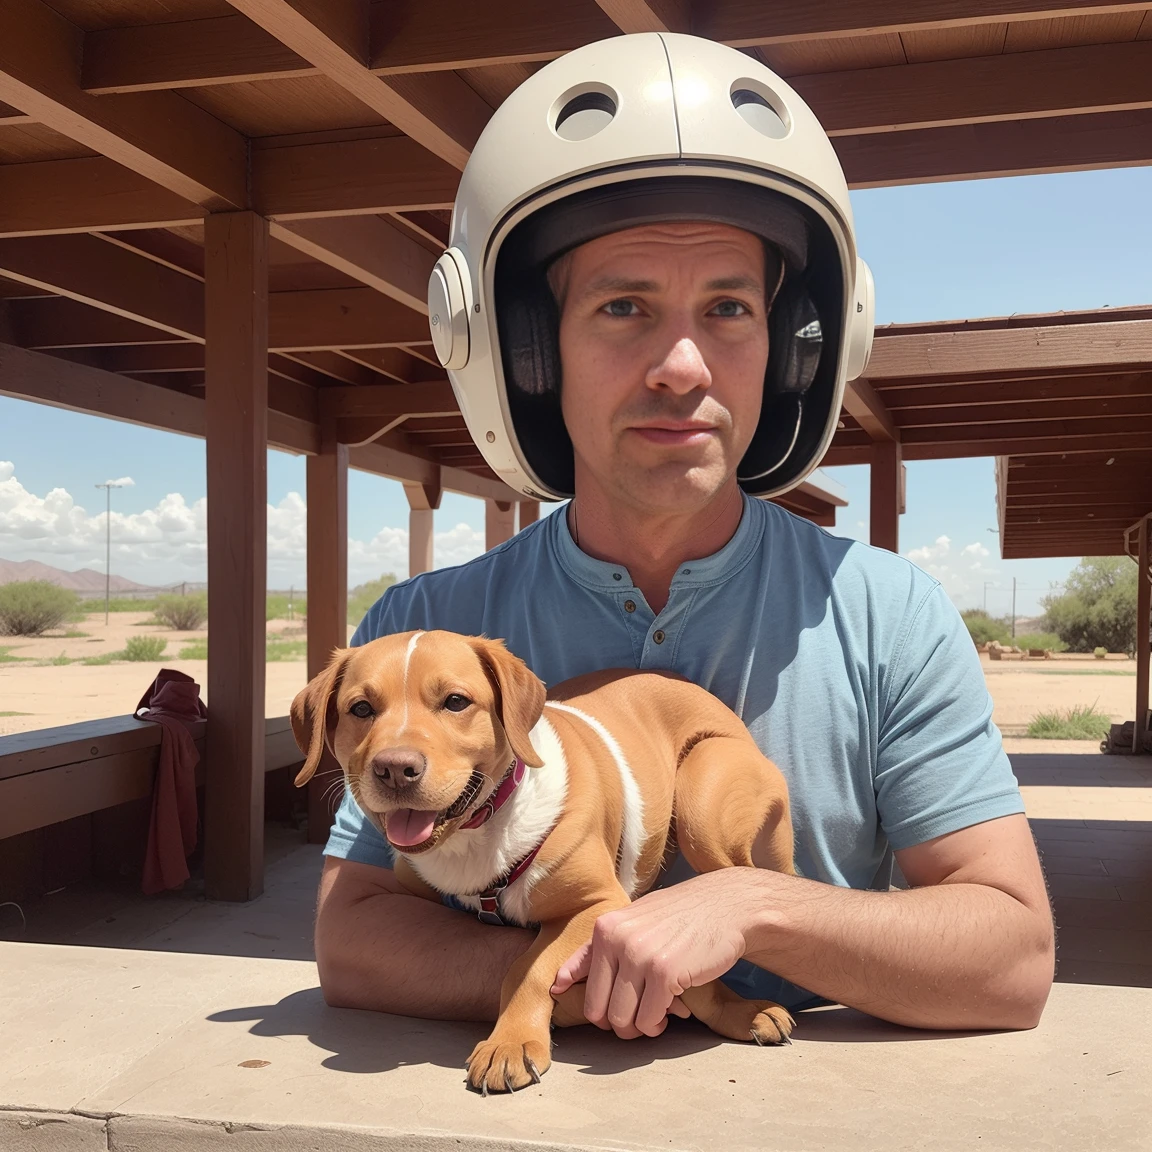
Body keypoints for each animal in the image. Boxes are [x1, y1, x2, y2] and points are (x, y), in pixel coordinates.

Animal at [292, 631, 797, 1087]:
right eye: (360, 709)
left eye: (455, 702)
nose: (395, 769)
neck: (480, 836)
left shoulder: (598, 904)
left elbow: (528, 966)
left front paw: (510, 1042)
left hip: (705, 802)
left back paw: (744, 1009)